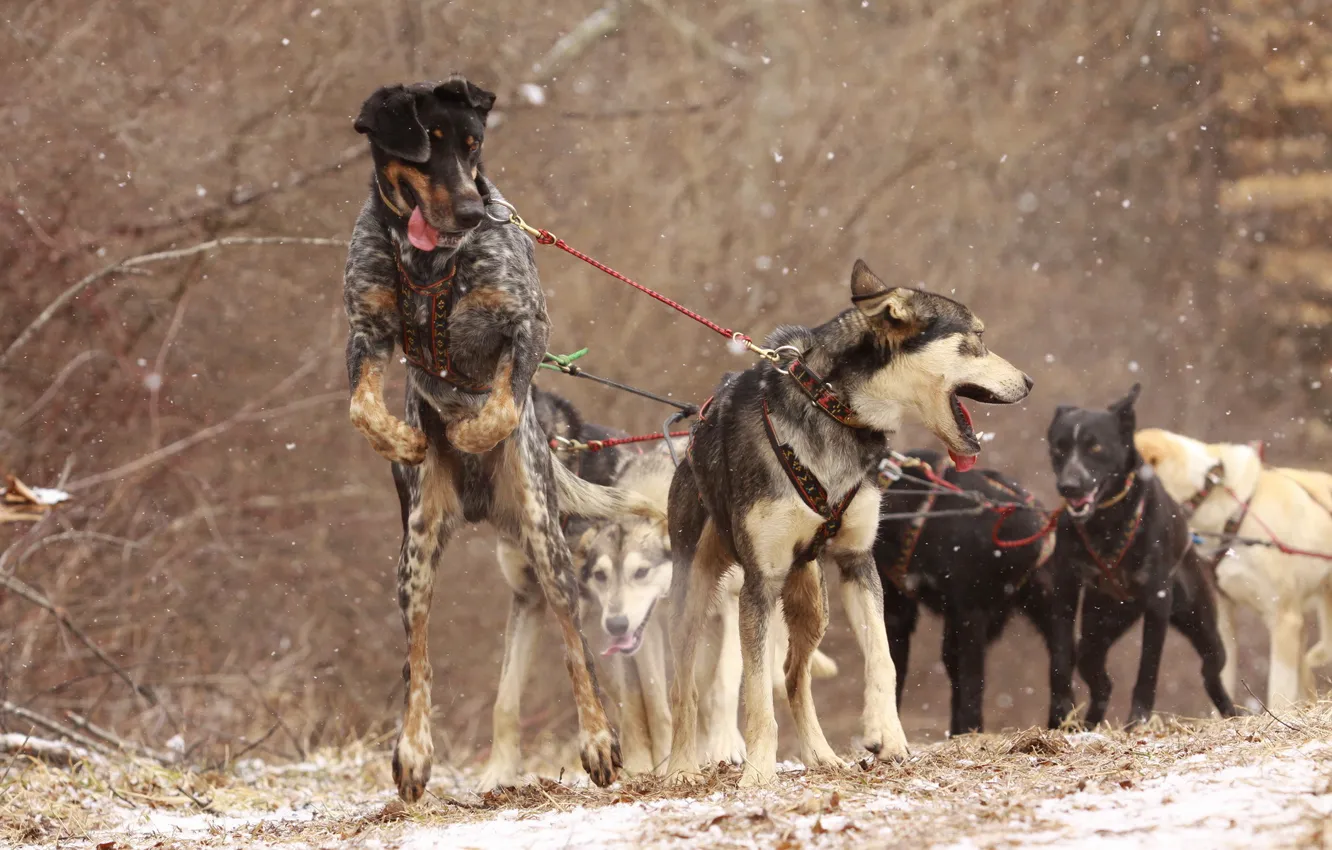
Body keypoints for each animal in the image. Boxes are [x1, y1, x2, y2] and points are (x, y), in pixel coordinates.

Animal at [663, 261, 1028, 794]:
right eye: (977, 337)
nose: (1029, 382)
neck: (832, 409)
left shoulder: (859, 562)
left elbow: (883, 659)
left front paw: (887, 737)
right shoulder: (759, 584)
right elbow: (755, 694)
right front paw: (757, 772)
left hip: (812, 600)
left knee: (795, 676)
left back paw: (821, 755)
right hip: (692, 593)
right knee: (684, 685)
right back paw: (681, 767)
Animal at [1038, 383, 1236, 724]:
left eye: (1095, 447)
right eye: (1059, 448)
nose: (1069, 486)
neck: (1107, 521)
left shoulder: (1158, 598)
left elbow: (1149, 665)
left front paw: (1138, 719)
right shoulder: (1066, 587)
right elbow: (1060, 658)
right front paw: (1061, 714)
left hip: (1199, 621)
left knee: (1213, 667)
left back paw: (1231, 711)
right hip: (1099, 628)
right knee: (1099, 678)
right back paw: (1090, 723)